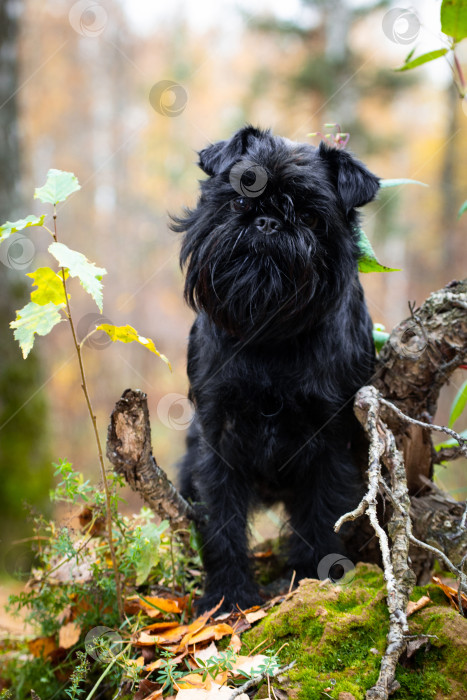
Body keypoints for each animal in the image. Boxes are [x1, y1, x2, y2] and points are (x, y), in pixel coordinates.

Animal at [174, 127, 378, 612]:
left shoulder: (332, 439)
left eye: (307, 216)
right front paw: (228, 595)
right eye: (239, 200)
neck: (269, 333)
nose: (267, 221)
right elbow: (222, 520)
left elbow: (322, 515)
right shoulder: (217, 436)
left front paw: (313, 581)